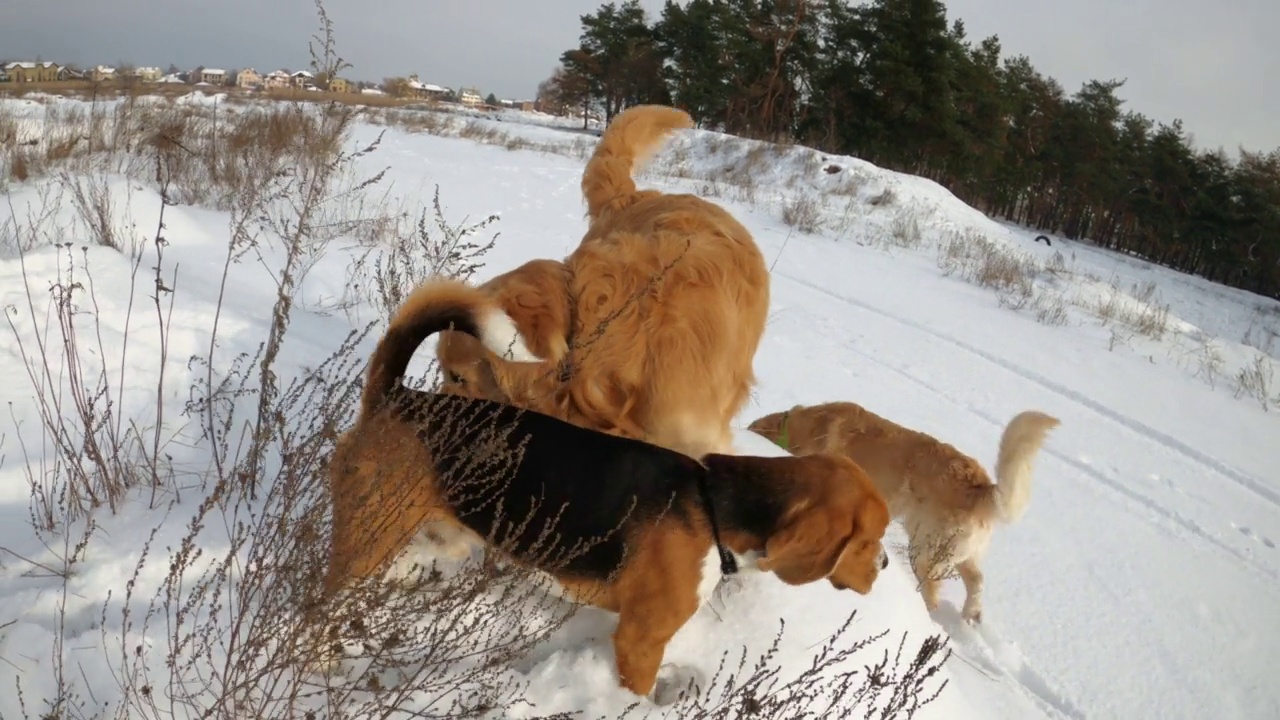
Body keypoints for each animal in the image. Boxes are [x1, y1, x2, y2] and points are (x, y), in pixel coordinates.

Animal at [317, 279, 890, 696]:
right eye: (869, 539)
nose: (885, 564)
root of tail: (396, 398)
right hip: (368, 538)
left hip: (431, 535)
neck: (714, 506)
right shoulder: (640, 641)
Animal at [747, 399, 1054, 620]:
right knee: (977, 581)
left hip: (924, 552)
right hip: (957, 552)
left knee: (932, 596)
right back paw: (971, 616)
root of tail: (980, 485)